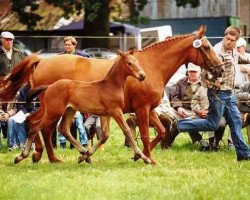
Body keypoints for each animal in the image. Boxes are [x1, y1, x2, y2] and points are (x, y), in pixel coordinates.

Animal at [15, 49, 152, 164]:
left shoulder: (105, 115)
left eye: (137, 62)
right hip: (53, 112)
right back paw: (21, 156)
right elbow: (127, 131)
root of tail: (49, 86)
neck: (110, 85)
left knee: (63, 129)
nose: (142, 76)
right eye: (129, 63)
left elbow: (105, 135)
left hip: (69, 110)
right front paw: (144, 158)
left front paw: (85, 155)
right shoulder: (116, 111)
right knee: (35, 126)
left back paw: (83, 153)